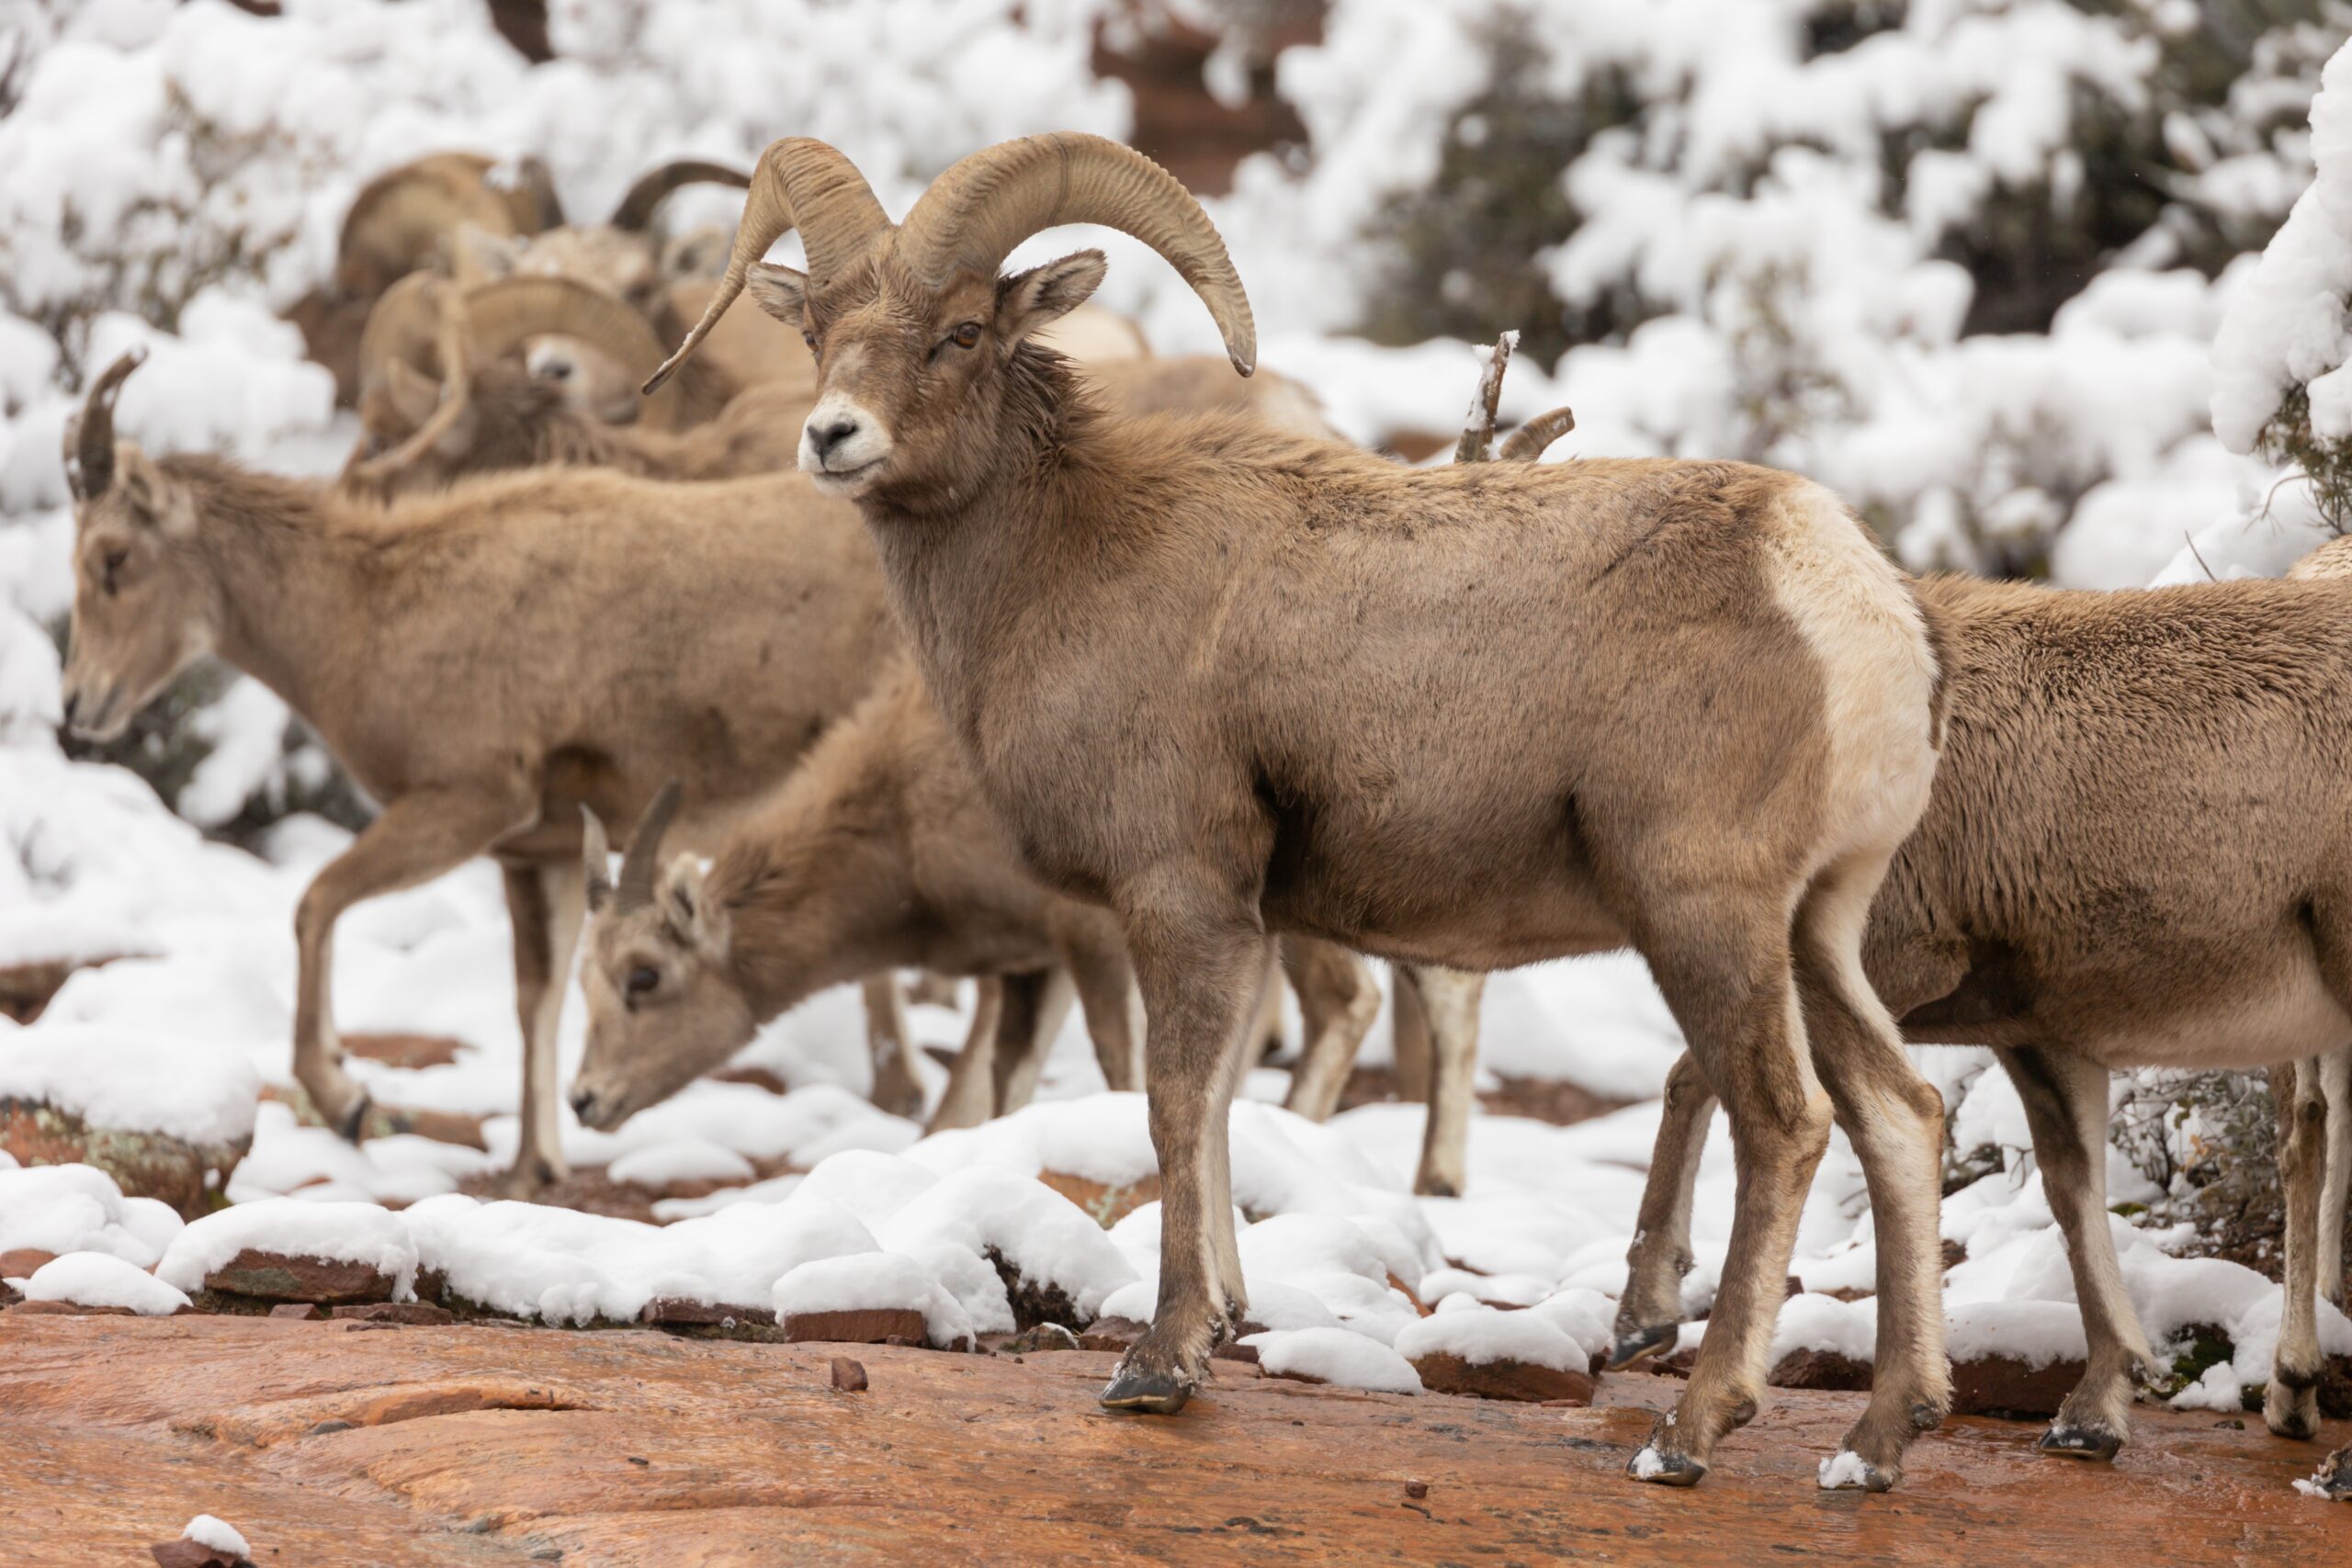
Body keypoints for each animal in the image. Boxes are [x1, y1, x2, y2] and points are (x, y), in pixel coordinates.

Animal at [55, 352, 903, 1189]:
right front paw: (536, 1166)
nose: (77, 703)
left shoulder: (465, 802)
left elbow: (316, 902)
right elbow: (538, 998)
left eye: (113, 558)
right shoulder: (538, 855)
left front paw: (348, 1102)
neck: (368, 614)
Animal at [1618, 557, 2352, 1476]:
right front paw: (2092, 1415)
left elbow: (1693, 1078)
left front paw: (1644, 1321)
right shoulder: (2037, 1030)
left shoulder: (1893, 962)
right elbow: (2074, 1190)